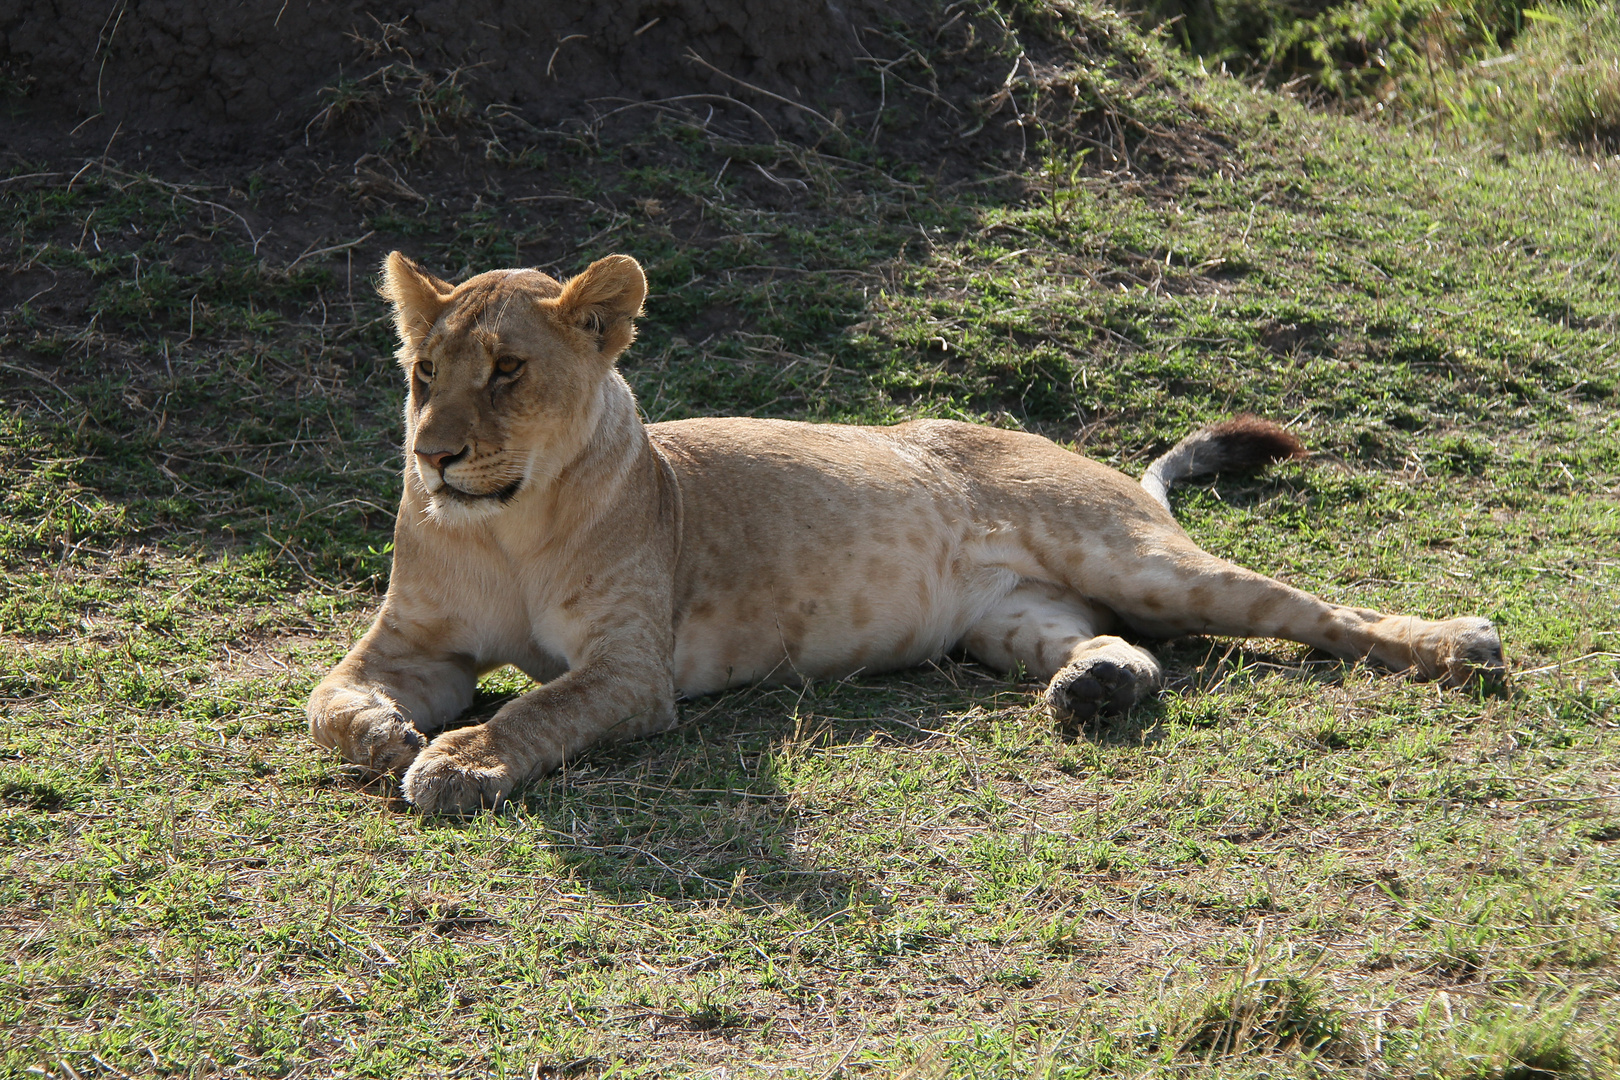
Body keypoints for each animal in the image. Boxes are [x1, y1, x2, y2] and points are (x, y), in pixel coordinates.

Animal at [309, 254, 1509, 809]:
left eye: (509, 370)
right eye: (424, 374)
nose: (433, 455)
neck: (505, 529)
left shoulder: (628, 670)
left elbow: (534, 710)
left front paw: (457, 761)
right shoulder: (410, 644)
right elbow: (326, 701)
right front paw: (389, 736)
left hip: (1136, 554)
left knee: (1307, 610)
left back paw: (1458, 641)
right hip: (1008, 619)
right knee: (1123, 642)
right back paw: (1094, 688)